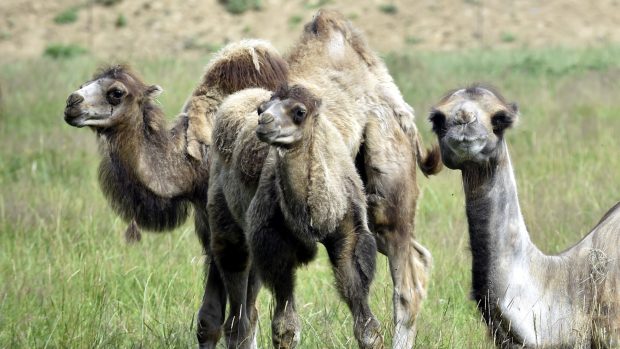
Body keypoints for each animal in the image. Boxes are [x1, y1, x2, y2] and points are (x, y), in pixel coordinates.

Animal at [61, 38, 290, 346]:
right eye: (85, 83)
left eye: (116, 92)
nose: (72, 102)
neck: (192, 166)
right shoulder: (207, 223)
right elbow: (209, 320)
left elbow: (243, 320)